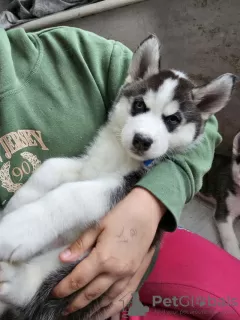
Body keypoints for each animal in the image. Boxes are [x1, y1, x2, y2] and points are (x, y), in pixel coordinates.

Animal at [0, 35, 236, 320]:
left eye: (173, 119)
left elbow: (71, 194)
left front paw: (16, 229)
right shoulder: (88, 166)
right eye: (139, 105)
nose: (142, 140)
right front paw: (16, 205)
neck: (120, 155)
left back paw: (11, 277)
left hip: (80, 266)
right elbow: (49, 168)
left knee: (30, 290)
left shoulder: (123, 187)